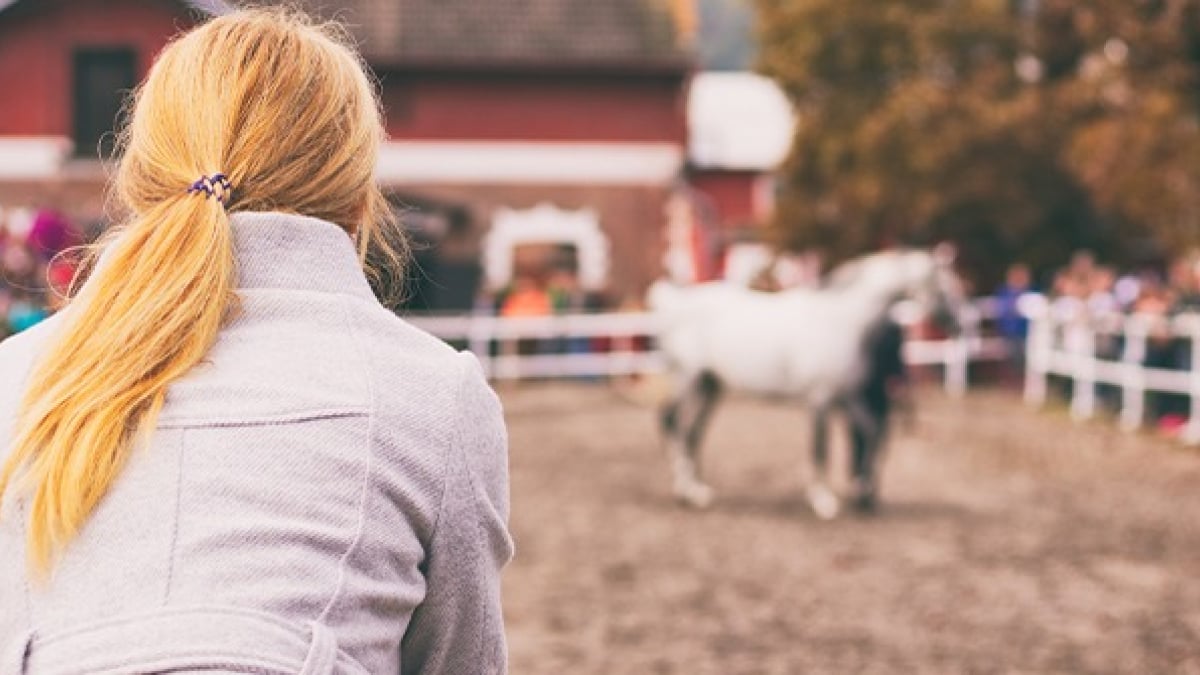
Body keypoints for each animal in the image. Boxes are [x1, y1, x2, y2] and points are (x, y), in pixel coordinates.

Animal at [648, 246, 964, 514]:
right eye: (942, 285)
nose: (958, 325)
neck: (842, 321)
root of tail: (675, 304)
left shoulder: (848, 397)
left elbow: (873, 433)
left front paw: (861, 487)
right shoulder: (820, 399)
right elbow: (820, 448)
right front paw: (823, 501)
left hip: (710, 385)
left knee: (692, 433)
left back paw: (697, 490)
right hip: (689, 378)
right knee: (671, 420)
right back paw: (686, 491)